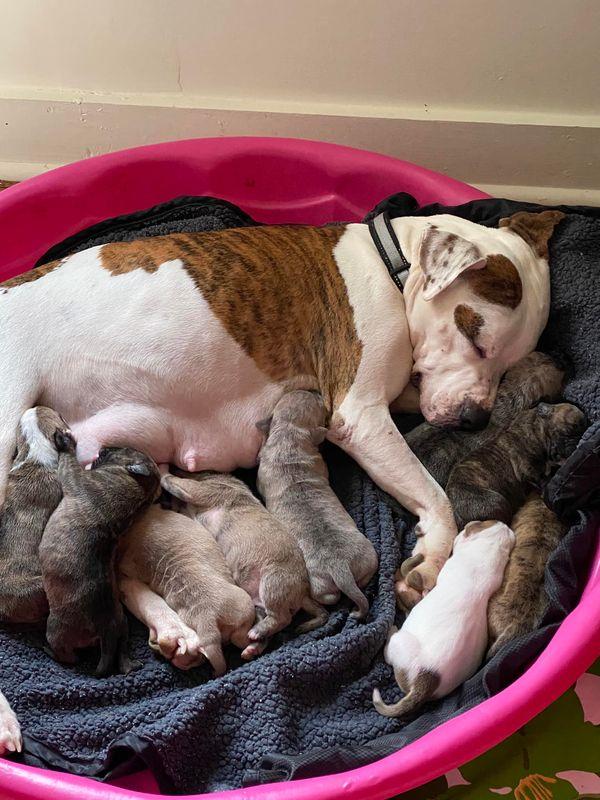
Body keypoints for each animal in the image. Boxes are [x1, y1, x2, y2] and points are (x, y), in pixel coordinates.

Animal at [40, 438, 160, 676]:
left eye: (125, 450)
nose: (105, 447)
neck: (139, 491)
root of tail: (107, 631)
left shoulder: (75, 477)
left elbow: (68, 461)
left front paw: (64, 441)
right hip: (123, 623)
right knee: (122, 652)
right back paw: (130, 664)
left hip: (56, 629)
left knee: (69, 657)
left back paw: (49, 652)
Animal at [160, 469, 328, 654]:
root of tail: (303, 593)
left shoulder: (203, 490)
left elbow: (177, 482)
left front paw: (163, 473)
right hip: (261, 600)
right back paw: (254, 645)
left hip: (273, 583)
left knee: (282, 618)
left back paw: (257, 632)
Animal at [446, 402, 587, 531]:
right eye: (571, 429)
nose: (578, 441)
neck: (537, 428)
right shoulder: (529, 469)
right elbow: (543, 480)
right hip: (497, 501)